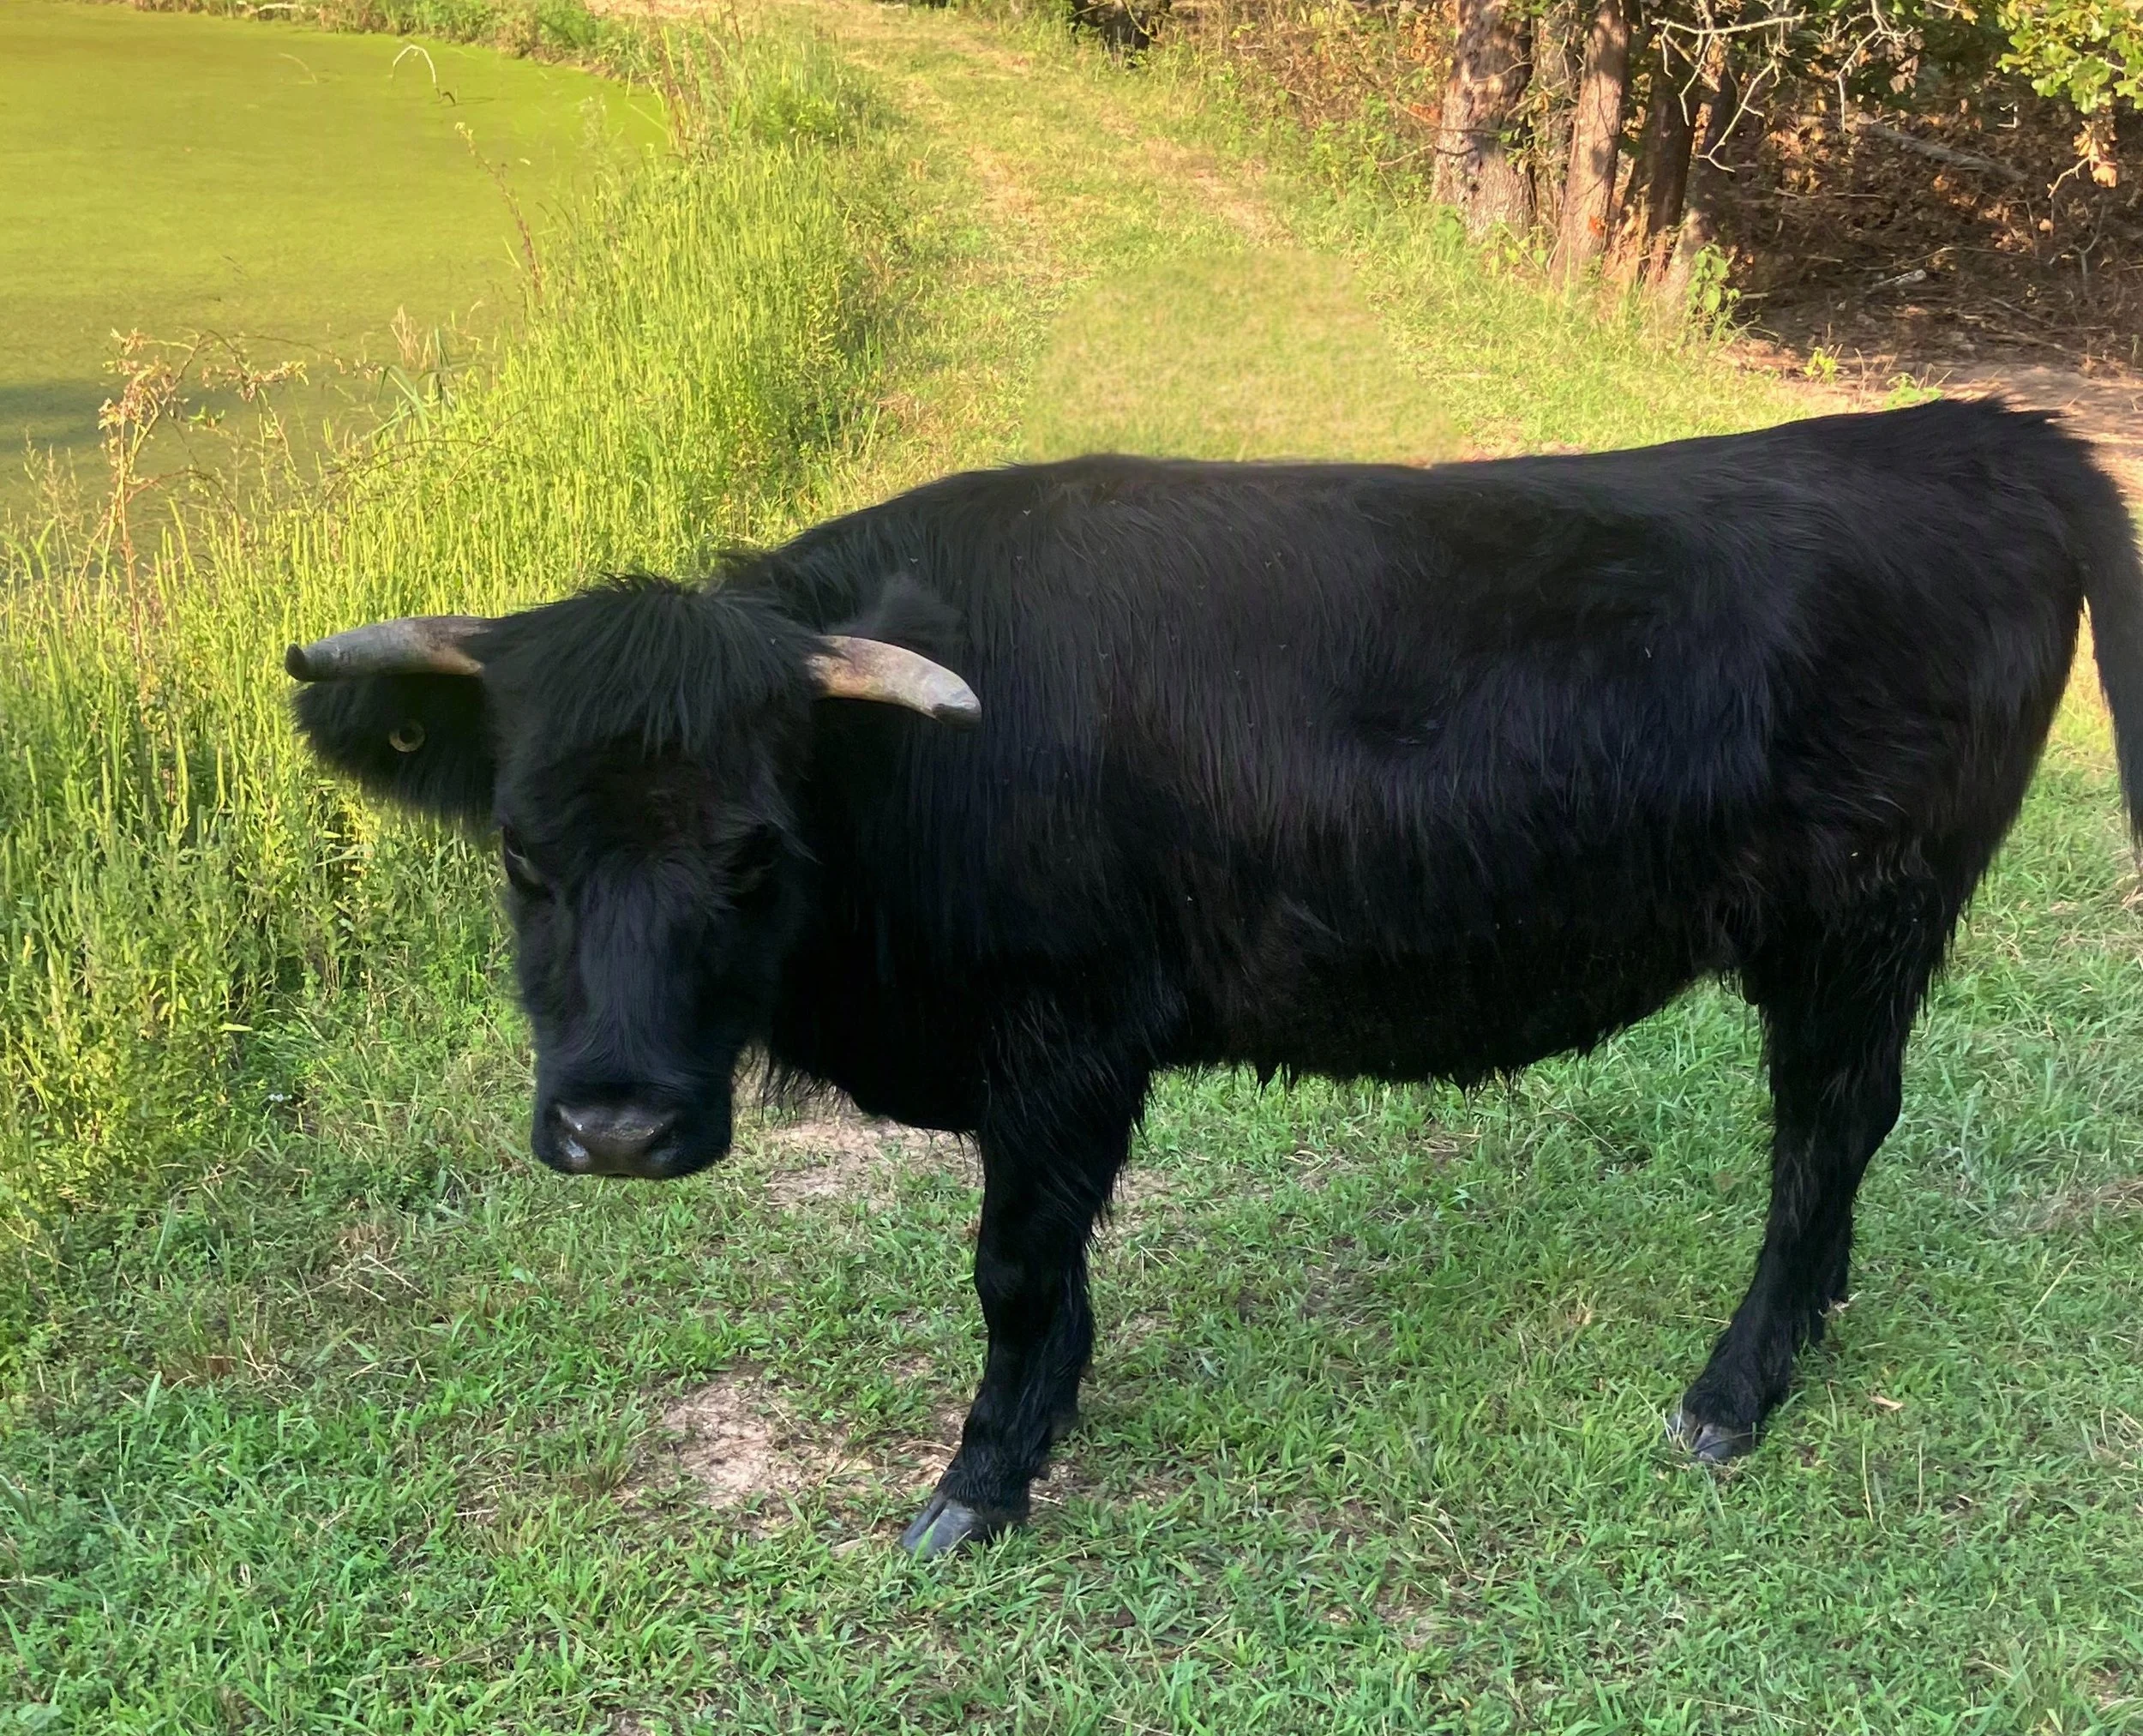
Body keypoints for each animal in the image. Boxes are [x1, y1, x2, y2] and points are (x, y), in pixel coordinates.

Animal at [287, 399, 2143, 1556]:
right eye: (523, 857)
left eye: (752, 852)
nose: (613, 1128)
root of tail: (1979, 429)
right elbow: (1055, 1279)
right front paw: (1046, 1425)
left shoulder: (1061, 1040)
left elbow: (1012, 1269)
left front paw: (979, 1482)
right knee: (1842, 1127)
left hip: (1860, 917)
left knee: (1823, 1127)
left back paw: (1734, 1387)